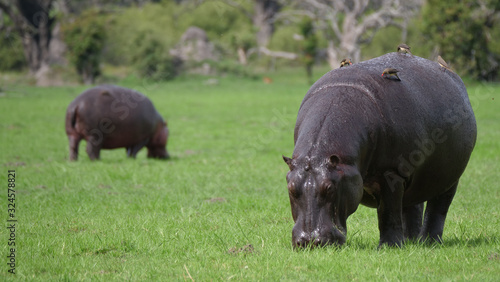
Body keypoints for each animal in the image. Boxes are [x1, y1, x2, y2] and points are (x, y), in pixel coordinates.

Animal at [286, 52, 476, 247]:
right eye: (291, 188)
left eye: (330, 188)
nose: (309, 241)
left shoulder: (392, 173)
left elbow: (388, 212)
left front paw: (388, 246)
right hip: (414, 177)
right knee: (412, 205)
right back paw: (411, 241)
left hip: (450, 177)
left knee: (438, 207)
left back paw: (429, 243)